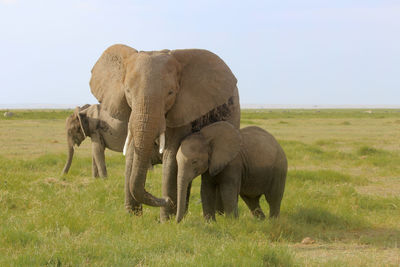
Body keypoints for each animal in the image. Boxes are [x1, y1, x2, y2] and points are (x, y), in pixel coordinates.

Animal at [90, 45, 241, 221]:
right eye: (127, 91)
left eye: (171, 93)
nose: (165, 200)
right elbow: (132, 157)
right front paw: (132, 218)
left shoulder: (184, 110)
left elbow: (171, 157)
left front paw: (165, 221)